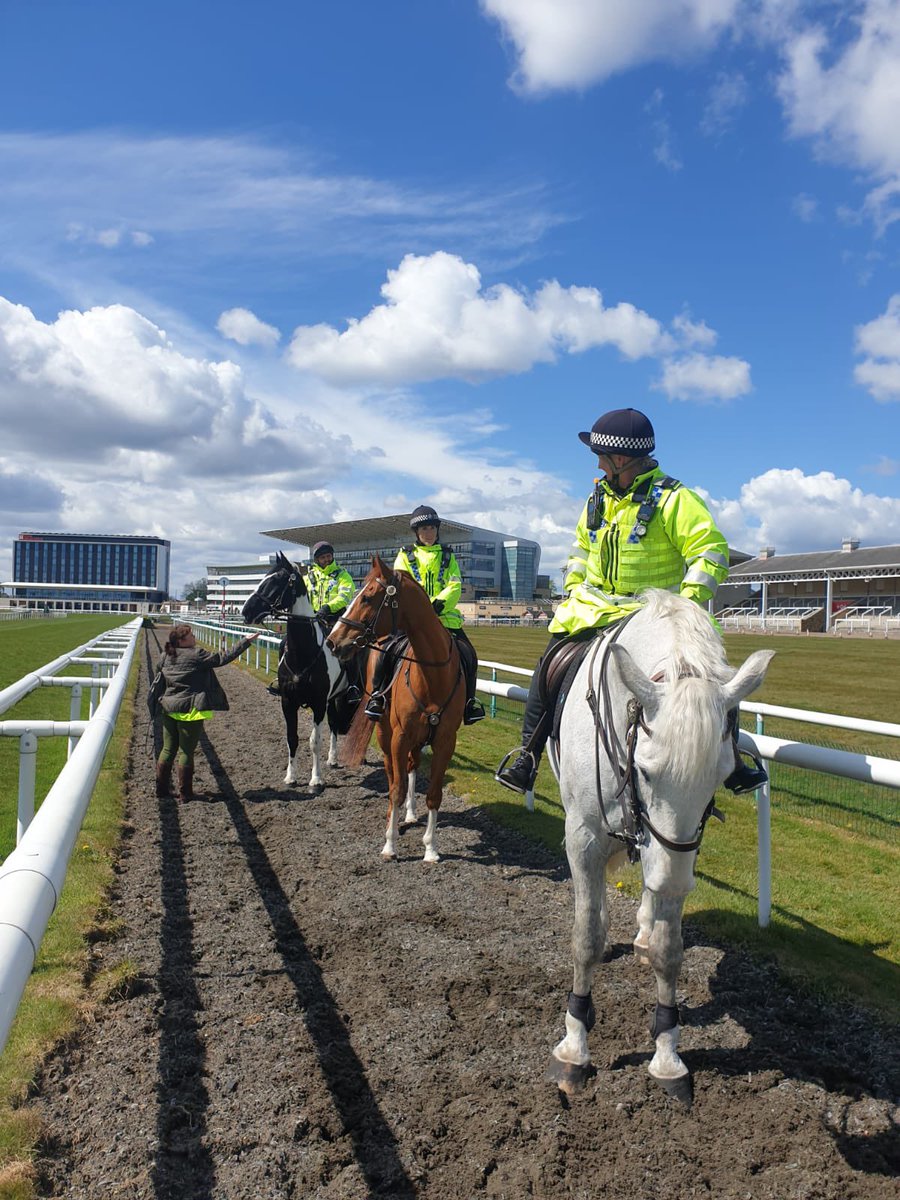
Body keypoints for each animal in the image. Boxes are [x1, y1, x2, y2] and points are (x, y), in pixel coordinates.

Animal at [244, 549, 364, 787]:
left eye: (276, 580)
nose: (246, 611)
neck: (303, 654)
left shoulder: (317, 703)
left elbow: (314, 741)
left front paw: (316, 779)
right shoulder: (288, 702)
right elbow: (292, 738)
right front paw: (291, 776)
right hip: (331, 699)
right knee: (334, 723)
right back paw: (332, 759)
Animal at [326, 554, 465, 864]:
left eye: (367, 597)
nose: (332, 641)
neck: (432, 675)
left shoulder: (444, 741)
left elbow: (433, 794)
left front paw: (431, 848)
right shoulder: (399, 737)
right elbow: (396, 788)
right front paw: (390, 844)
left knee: (411, 767)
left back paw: (411, 814)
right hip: (384, 733)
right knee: (392, 775)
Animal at [549, 590, 777, 1104]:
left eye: (720, 776)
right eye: (646, 771)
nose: (671, 882)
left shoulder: (678, 850)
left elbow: (669, 949)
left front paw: (668, 1055)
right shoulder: (583, 839)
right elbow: (585, 938)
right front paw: (575, 1048)